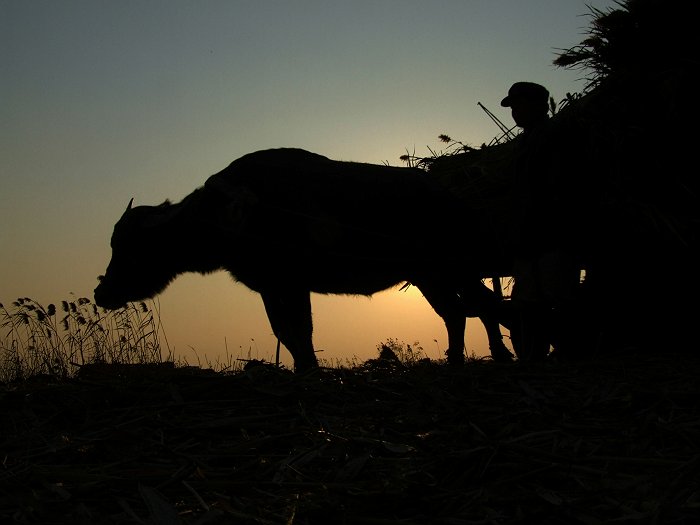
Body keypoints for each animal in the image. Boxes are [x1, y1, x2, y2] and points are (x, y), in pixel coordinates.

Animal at [93, 145, 512, 370]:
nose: (101, 293)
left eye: (129, 246)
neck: (237, 214)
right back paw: (466, 360)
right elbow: (285, 331)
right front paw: (301, 367)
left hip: (450, 269)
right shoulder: (270, 286)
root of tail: (450, 196)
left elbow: (301, 329)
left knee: (481, 308)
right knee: (463, 311)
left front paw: (310, 368)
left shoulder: (294, 283)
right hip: (431, 275)